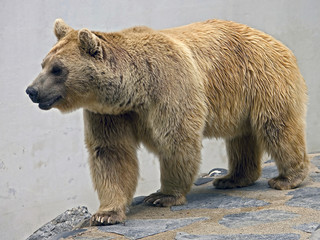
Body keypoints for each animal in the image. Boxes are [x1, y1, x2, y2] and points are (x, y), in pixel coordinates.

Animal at [26, 18, 308, 225]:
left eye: (58, 69)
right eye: (43, 63)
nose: (32, 90)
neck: (134, 91)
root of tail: (276, 42)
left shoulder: (169, 86)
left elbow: (176, 139)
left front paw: (162, 195)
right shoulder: (109, 113)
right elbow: (111, 154)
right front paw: (106, 213)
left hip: (262, 80)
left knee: (277, 127)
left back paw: (287, 178)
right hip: (239, 100)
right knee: (241, 137)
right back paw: (233, 178)